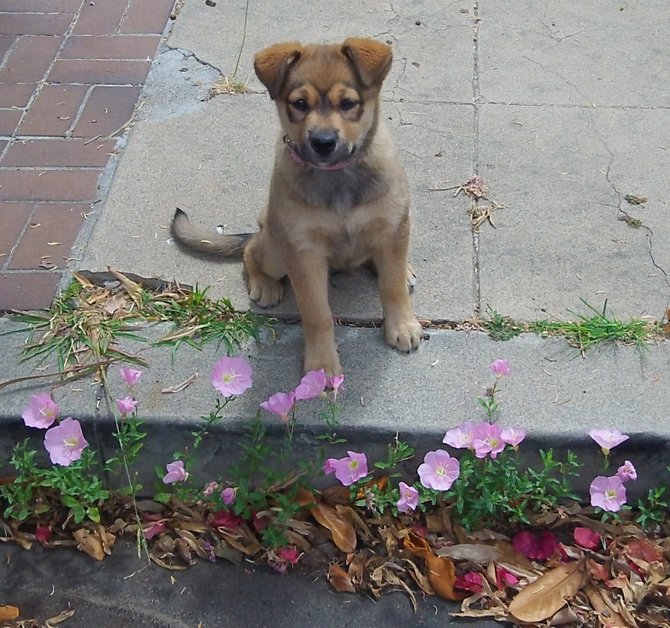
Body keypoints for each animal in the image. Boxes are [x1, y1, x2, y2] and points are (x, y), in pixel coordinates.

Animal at [173, 40, 426, 378]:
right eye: (300, 103)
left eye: (348, 103)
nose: (323, 142)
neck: (337, 176)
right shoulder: (304, 253)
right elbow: (317, 314)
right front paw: (322, 364)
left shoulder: (392, 226)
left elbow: (392, 286)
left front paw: (402, 325)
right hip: (277, 250)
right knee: (250, 251)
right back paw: (264, 283)